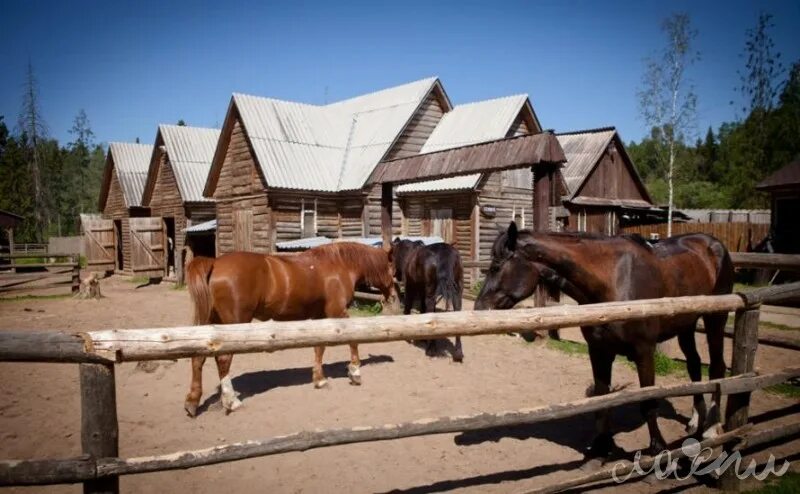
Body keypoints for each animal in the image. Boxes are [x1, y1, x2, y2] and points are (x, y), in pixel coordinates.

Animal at [186, 243, 400, 416]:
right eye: (393, 269)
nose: (394, 296)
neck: (339, 265)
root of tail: (215, 263)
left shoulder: (320, 317)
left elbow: (319, 347)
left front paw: (319, 379)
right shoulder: (337, 313)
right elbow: (353, 339)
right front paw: (355, 372)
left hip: (211, 326)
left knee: (198, 358)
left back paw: (192, 402)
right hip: (234, 325)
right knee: (223, 359)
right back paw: (231, 401)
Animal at [472, 222, 736, 458]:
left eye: (496, 266)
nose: (478, 308)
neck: (613, 282)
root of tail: (713, 244)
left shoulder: (644, 351)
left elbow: (648, 402)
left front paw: (658, 448)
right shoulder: (598, 351)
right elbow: (602, 398)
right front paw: (600, 447)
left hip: (716, 319)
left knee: (716, 367)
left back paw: (711, 428)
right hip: (686, 325)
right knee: (694, 366)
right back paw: (695, 422)